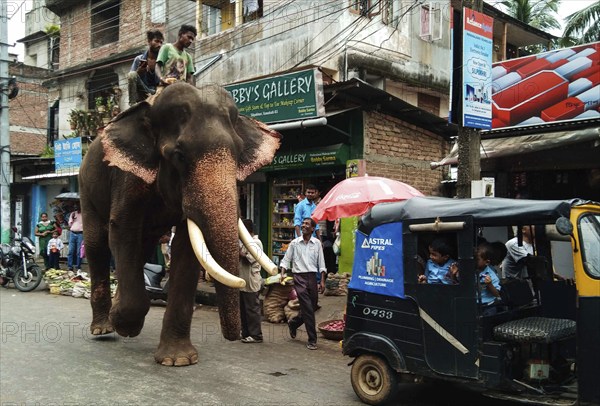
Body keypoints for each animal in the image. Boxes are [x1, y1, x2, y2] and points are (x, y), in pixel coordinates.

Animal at [79, 81, 282, 364]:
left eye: (239, 152)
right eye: (179, 155)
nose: (236, 336)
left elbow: (188, 249)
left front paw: (178, 360)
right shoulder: (127, 177)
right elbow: (123, 229)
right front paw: (126, 324)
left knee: (142, 249)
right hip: (86, 186)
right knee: (98, 244)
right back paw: (104, 328)